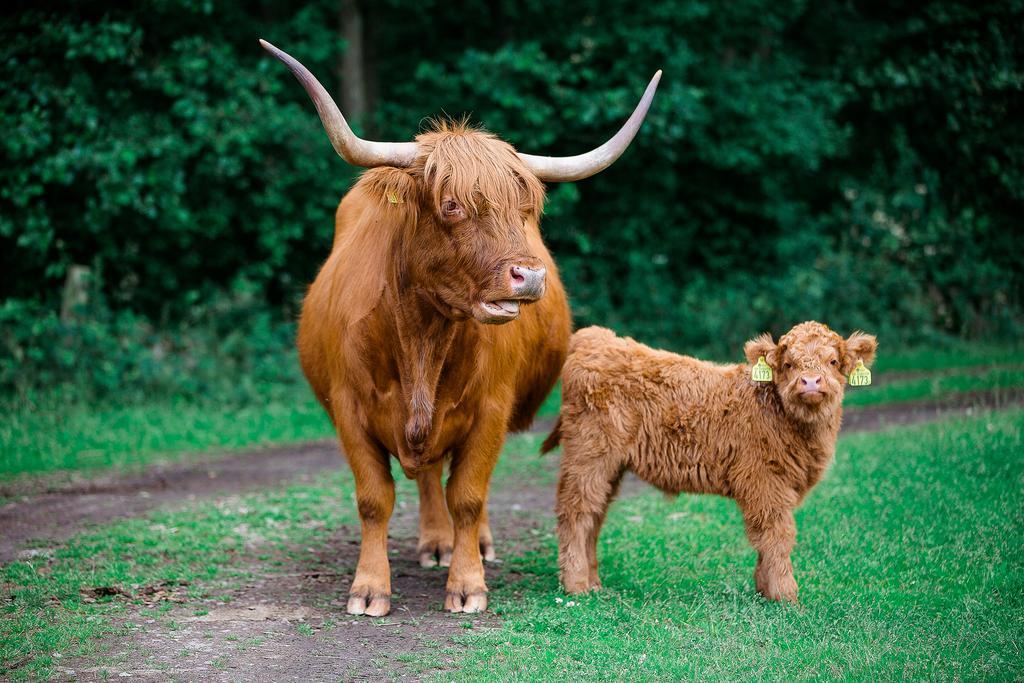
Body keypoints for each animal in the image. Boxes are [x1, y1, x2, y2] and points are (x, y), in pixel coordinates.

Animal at [262, 40, 663, 618]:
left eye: (526, 209)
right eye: (452, 205)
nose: (529, 275)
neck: (421, 339)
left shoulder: (491, 409)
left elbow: (469, 494)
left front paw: (468, 583)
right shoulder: (348, 407)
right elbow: (374, 498)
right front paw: (369, 588)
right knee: (429, 475)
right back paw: (434, 541)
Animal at [544, 323, 880, 602]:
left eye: (833, 361)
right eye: (788, 364)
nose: (810, 382)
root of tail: (595, 338)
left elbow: (766, 538)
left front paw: (764, 588)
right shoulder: (763, 482)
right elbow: (777, 535)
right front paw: (785, 595)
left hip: (609, 466)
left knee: (595, 514)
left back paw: (594, 582)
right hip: (589, 454)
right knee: (576, 512)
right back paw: (576, 585)